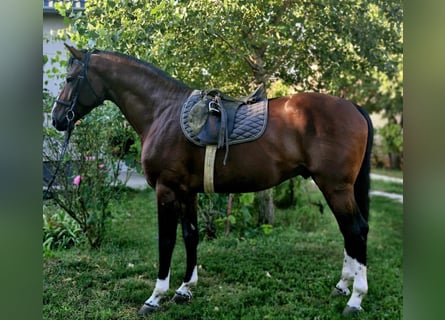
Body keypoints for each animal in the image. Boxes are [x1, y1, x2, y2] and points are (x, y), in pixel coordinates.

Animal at [50, 45, 372, 318]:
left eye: (70, 78)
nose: (57, 119)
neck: (162, 112)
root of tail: (353, 106)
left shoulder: (166, 190)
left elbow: (166, 241)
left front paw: (155, 297)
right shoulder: (187, 192)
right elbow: (191, 235)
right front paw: (185, 289)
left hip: (335, 187)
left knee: (356, 230)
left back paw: (355, 299)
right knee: (349, 233)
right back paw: (342, 285)